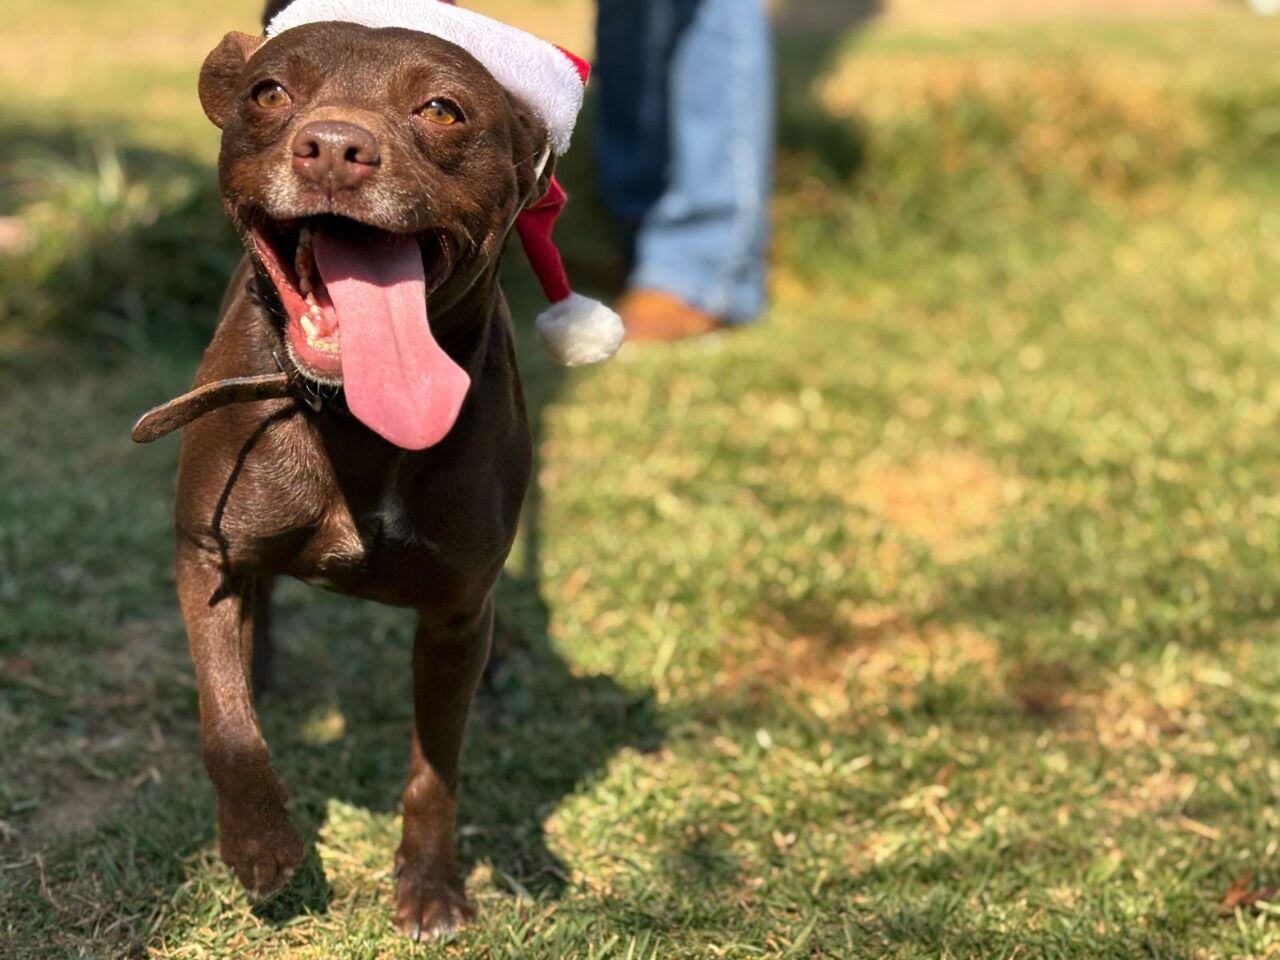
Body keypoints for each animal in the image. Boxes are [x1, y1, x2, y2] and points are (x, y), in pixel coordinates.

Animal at [152, 20, 552, 942]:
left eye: (442, 109)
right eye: (269, 93)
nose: (334, 146)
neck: (354, 419)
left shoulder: (454, 619)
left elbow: (435, 772)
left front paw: (432, 889)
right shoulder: (204, 555)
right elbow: (226, 724)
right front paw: (260, 844)